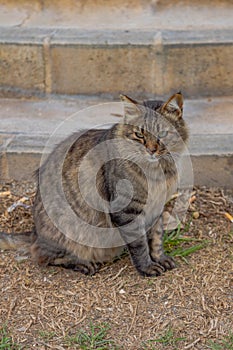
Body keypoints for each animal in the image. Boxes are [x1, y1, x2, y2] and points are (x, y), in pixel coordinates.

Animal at [0, 92, 188, 276]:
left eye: (162, 134)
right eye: (139, 135)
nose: (151, 150)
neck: (158, 173)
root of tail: (35, 232)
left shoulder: (157, 208)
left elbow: (155, 239)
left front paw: (160, 258)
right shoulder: (127, 210)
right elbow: (140, 245)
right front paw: (147, 267)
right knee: (43, 255)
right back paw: (83, 264)